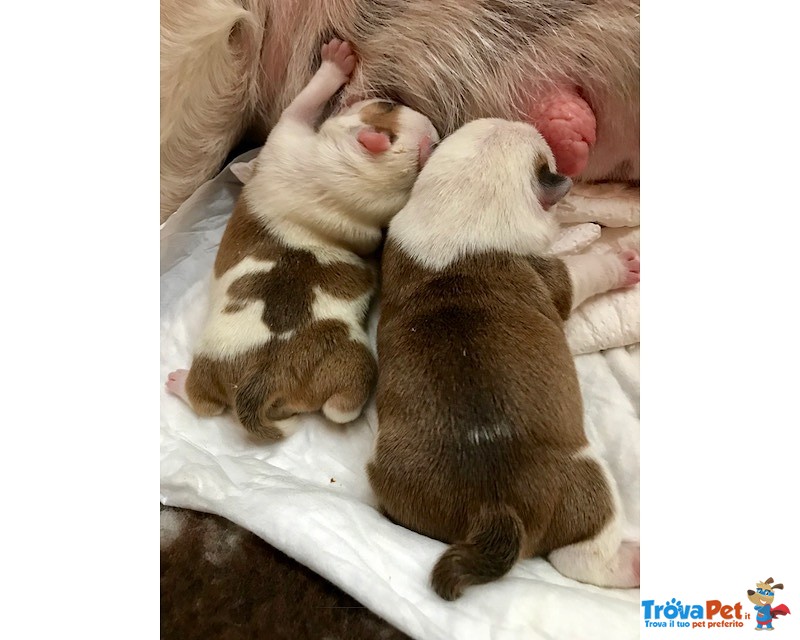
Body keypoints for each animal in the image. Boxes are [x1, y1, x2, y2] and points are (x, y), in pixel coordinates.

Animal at [163, 40, 438, 440]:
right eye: (387, 106)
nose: (435, 132)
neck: (338, 188)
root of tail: (259, 384)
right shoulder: (290, 137)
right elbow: (306, 101)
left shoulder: (287, 137)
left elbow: (305, 100)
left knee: (206, 402)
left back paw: (178, 383)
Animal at [372, 119, 640, 600]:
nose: (523, 119)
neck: (464, 208)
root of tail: (494, 508)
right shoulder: (554, 276)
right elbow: (583, 272)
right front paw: (616, 261)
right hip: (588, 482)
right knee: (581, 555)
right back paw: (633, 565)